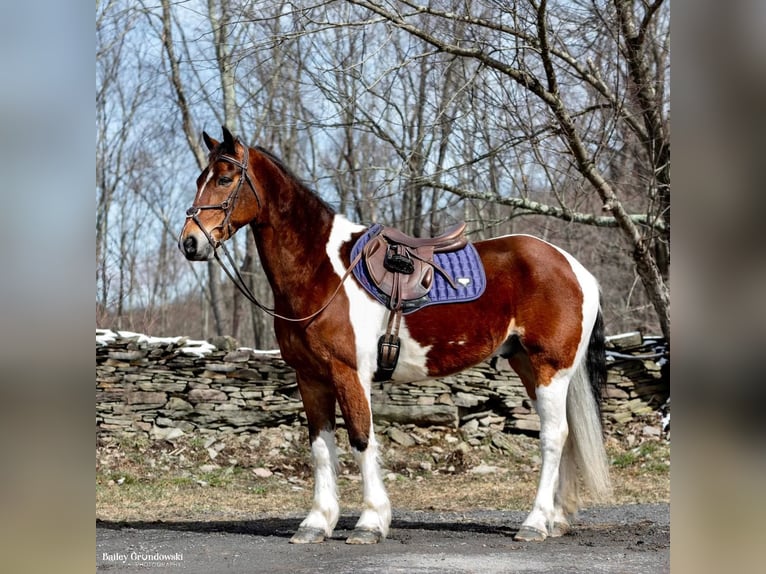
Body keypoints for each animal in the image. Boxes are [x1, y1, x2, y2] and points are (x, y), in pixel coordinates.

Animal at [178, 128, 612, 548]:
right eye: (199, 178)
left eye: (224, 178)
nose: (190, 243)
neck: (322, 271)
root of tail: (575, 268)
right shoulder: (310, 377)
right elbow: (320, 446)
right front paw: (317, 523)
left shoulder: (349, 373)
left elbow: (361, 438)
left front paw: (370, 523)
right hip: (529, 366)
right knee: (566, 436)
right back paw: (557, 519)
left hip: (549, 368)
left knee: (554, 437)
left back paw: (535, 523)